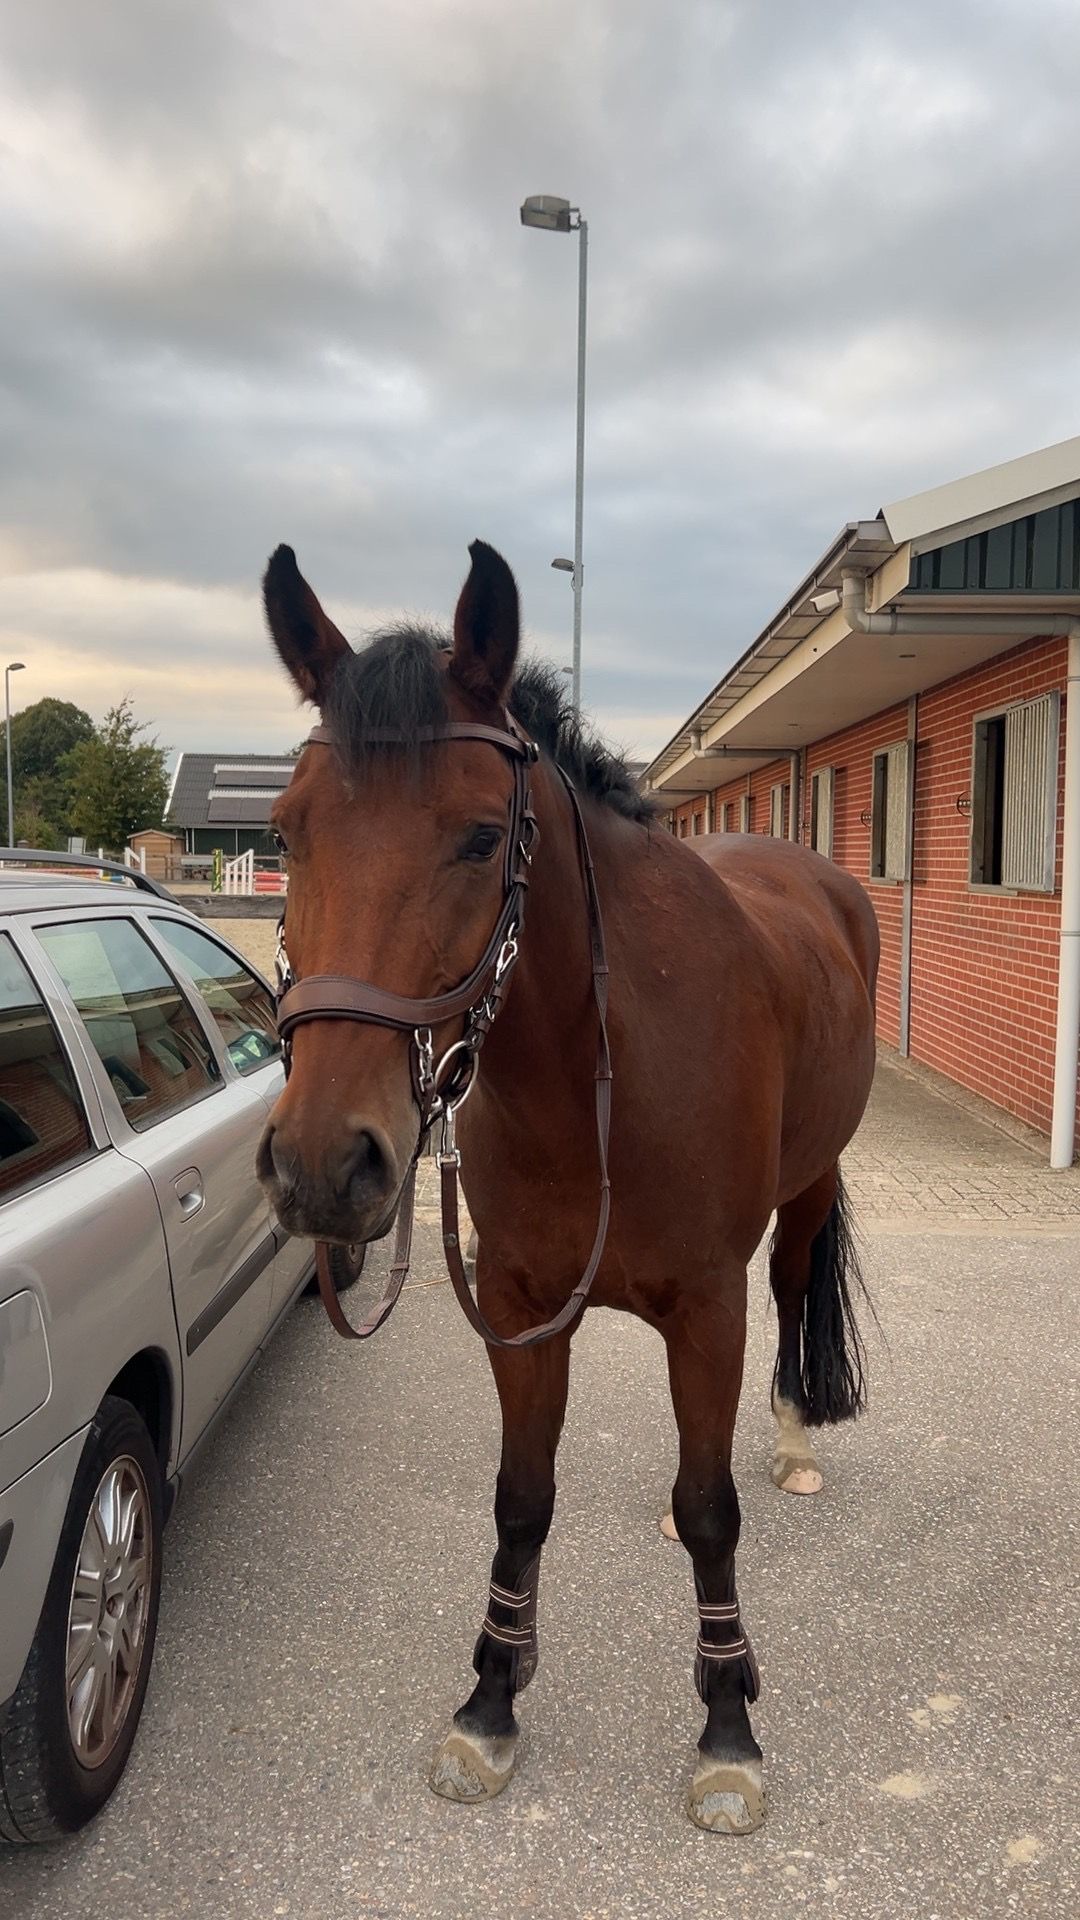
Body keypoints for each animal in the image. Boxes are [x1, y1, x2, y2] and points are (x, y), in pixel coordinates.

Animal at [258, 538, 879, 1833]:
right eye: (286, 833)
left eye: (480, 837)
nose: (323, 1164)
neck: (600, 1065)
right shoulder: (522, 1307)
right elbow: (522, 1499)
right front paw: (490, 1700)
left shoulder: (707, 1309)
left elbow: (712, 1511)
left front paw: (728, 1726)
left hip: (808, 1192)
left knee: (795, 1292)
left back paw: (793, 1440)